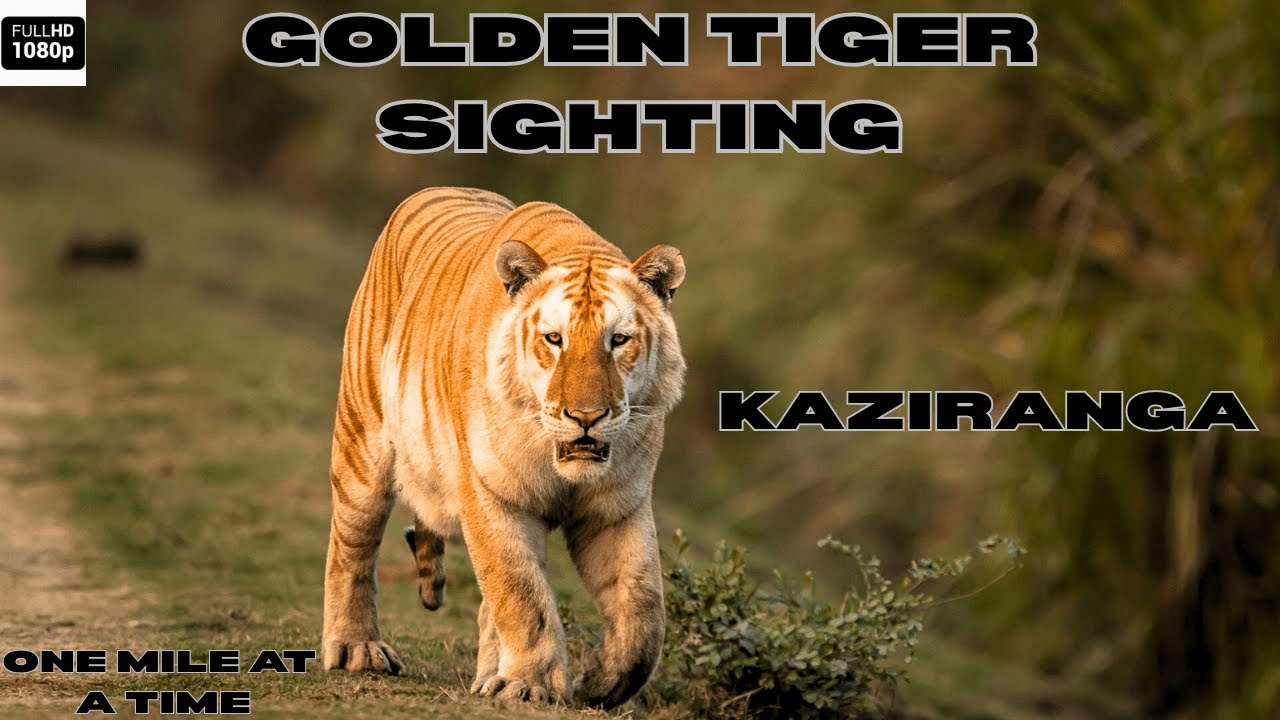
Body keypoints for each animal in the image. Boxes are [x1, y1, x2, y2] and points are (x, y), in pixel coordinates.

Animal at [321, 187, 687, 709]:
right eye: (554, 339)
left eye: (618, 340)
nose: (586, 416)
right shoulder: (491, 495)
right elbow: (521, 594)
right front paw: (531, 685)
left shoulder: (619, 507)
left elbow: (642, 608)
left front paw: (600, 682)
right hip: (362, 443)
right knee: (352, 546)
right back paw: (357, 649)